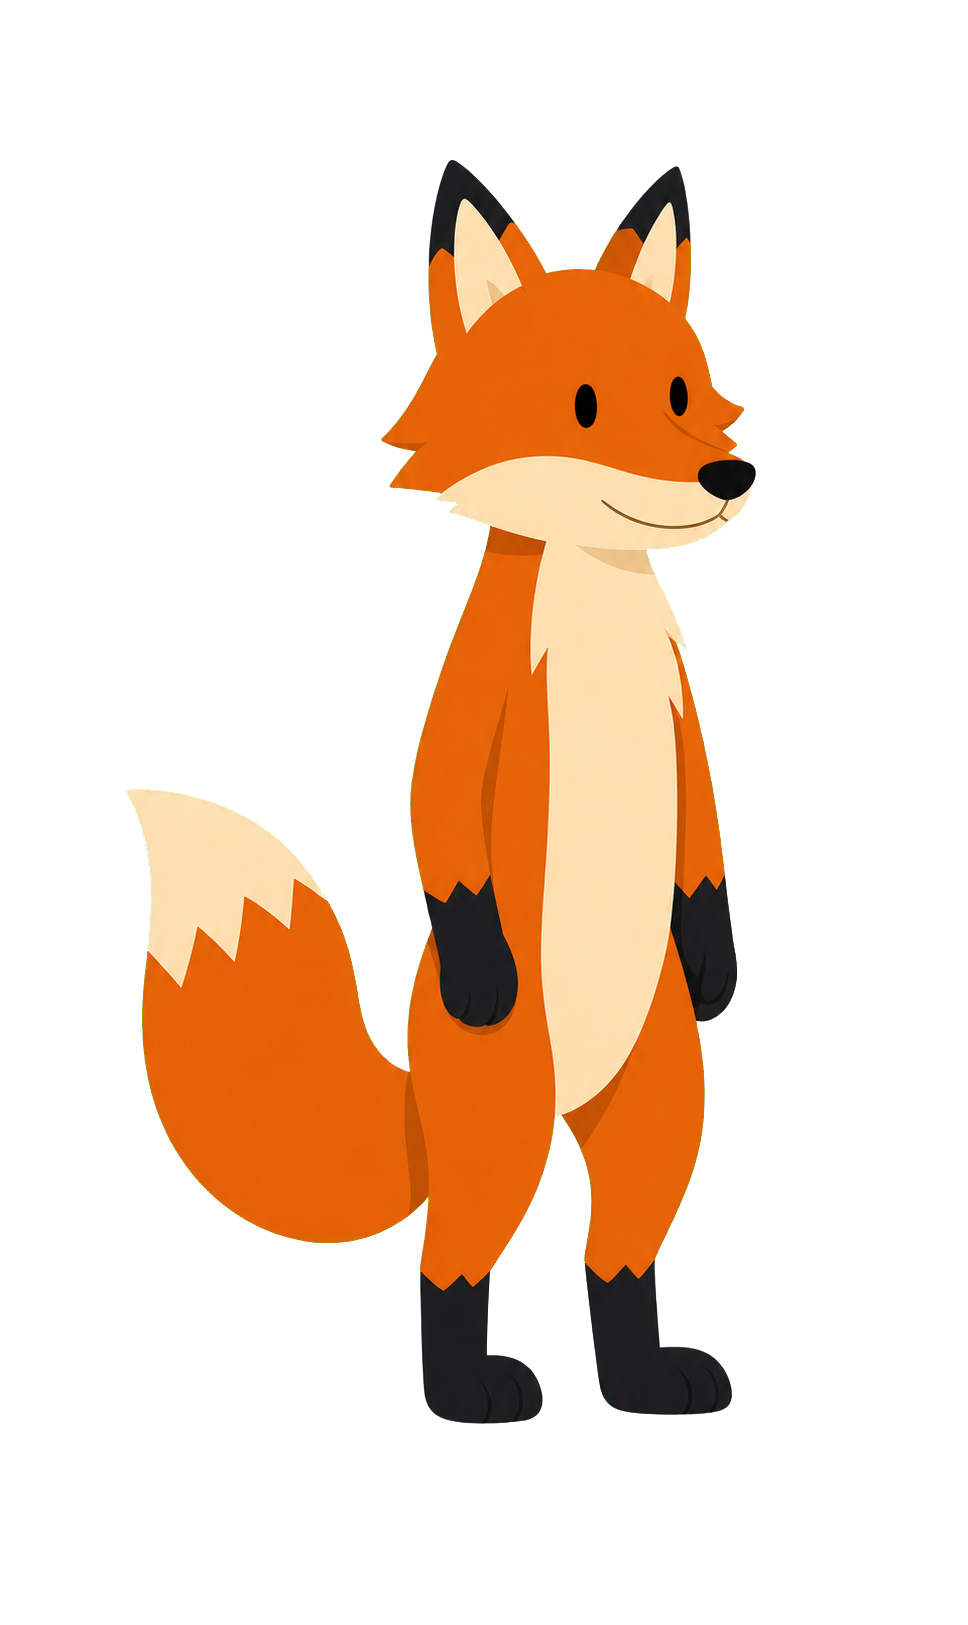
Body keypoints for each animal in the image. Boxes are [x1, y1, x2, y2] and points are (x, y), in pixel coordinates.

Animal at [129, 161, 753, 1423]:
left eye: (679, 388)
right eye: (580, 403)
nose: (727, 477)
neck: (595, 598)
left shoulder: (681, 715)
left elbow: (704, 842)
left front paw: (715, 954)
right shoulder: (473, 704)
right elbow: (435, 808)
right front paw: (479, 963)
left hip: (661, 1102)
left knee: (617, 1251)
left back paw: (645, 1377)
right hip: (501, 1121)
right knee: (451, 1259)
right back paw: (469, 1388)